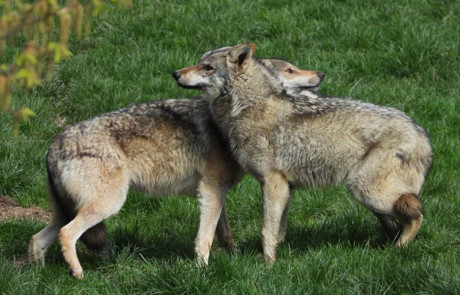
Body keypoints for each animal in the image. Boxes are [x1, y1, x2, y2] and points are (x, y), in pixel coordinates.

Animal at [29, 52, 324, 280]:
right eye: (290, 69)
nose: (320, 73)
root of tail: (54, 144)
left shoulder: (216, 193)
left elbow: (224, 234)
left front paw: (234, 257)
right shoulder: (211, 190)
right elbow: (205, 238)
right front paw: (203, 270)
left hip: (68, 211)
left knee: (37, 240)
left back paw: (38, 275)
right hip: (106, 205)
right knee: (67, 234)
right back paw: (78, 274)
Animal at [172, 42, 432, 264]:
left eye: (207, 67)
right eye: (199, 63)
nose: (175, 73)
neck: (247, 108)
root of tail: (422, 135)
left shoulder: (273, 183)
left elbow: (266, 229)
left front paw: (268, 265)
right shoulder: (286, 188)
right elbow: (278, 231)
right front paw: (275, 258)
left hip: (364, 190)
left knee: (417, 212)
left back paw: (399, 249)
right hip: (368, 196)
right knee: (398, 218)